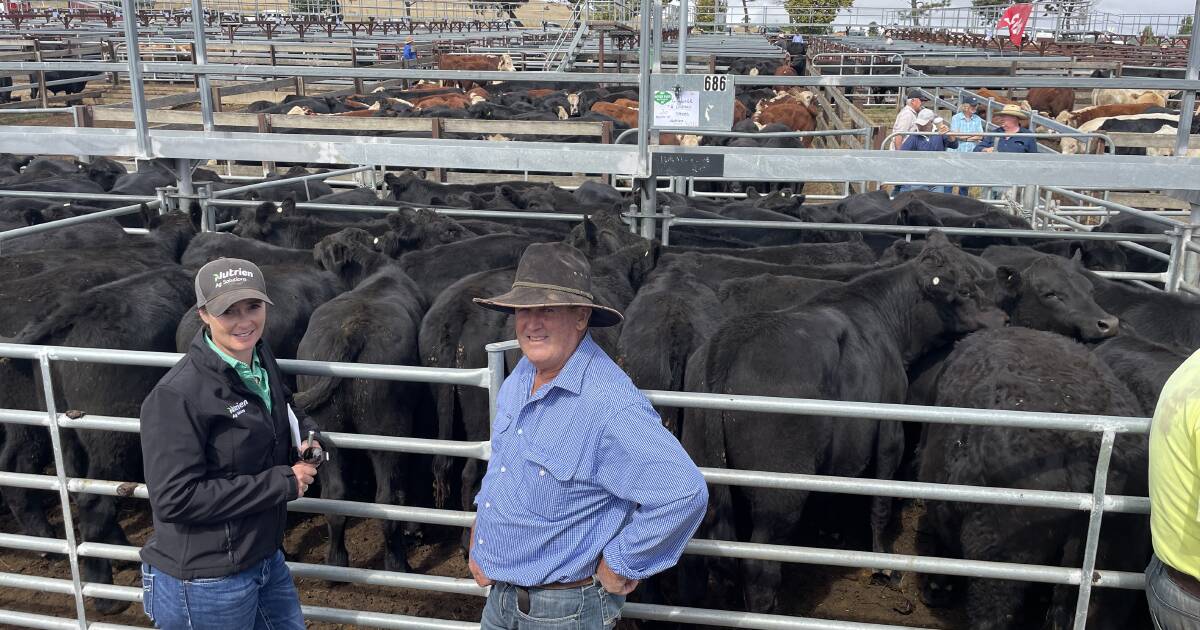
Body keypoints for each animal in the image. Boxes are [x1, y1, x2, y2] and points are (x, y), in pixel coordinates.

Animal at [292, 228, 429, 571]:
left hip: (326, 427)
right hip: (388, 431)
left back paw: (336, 563)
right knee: (387, 499)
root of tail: (350, 332)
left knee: (335, 495)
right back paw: (397, 564)